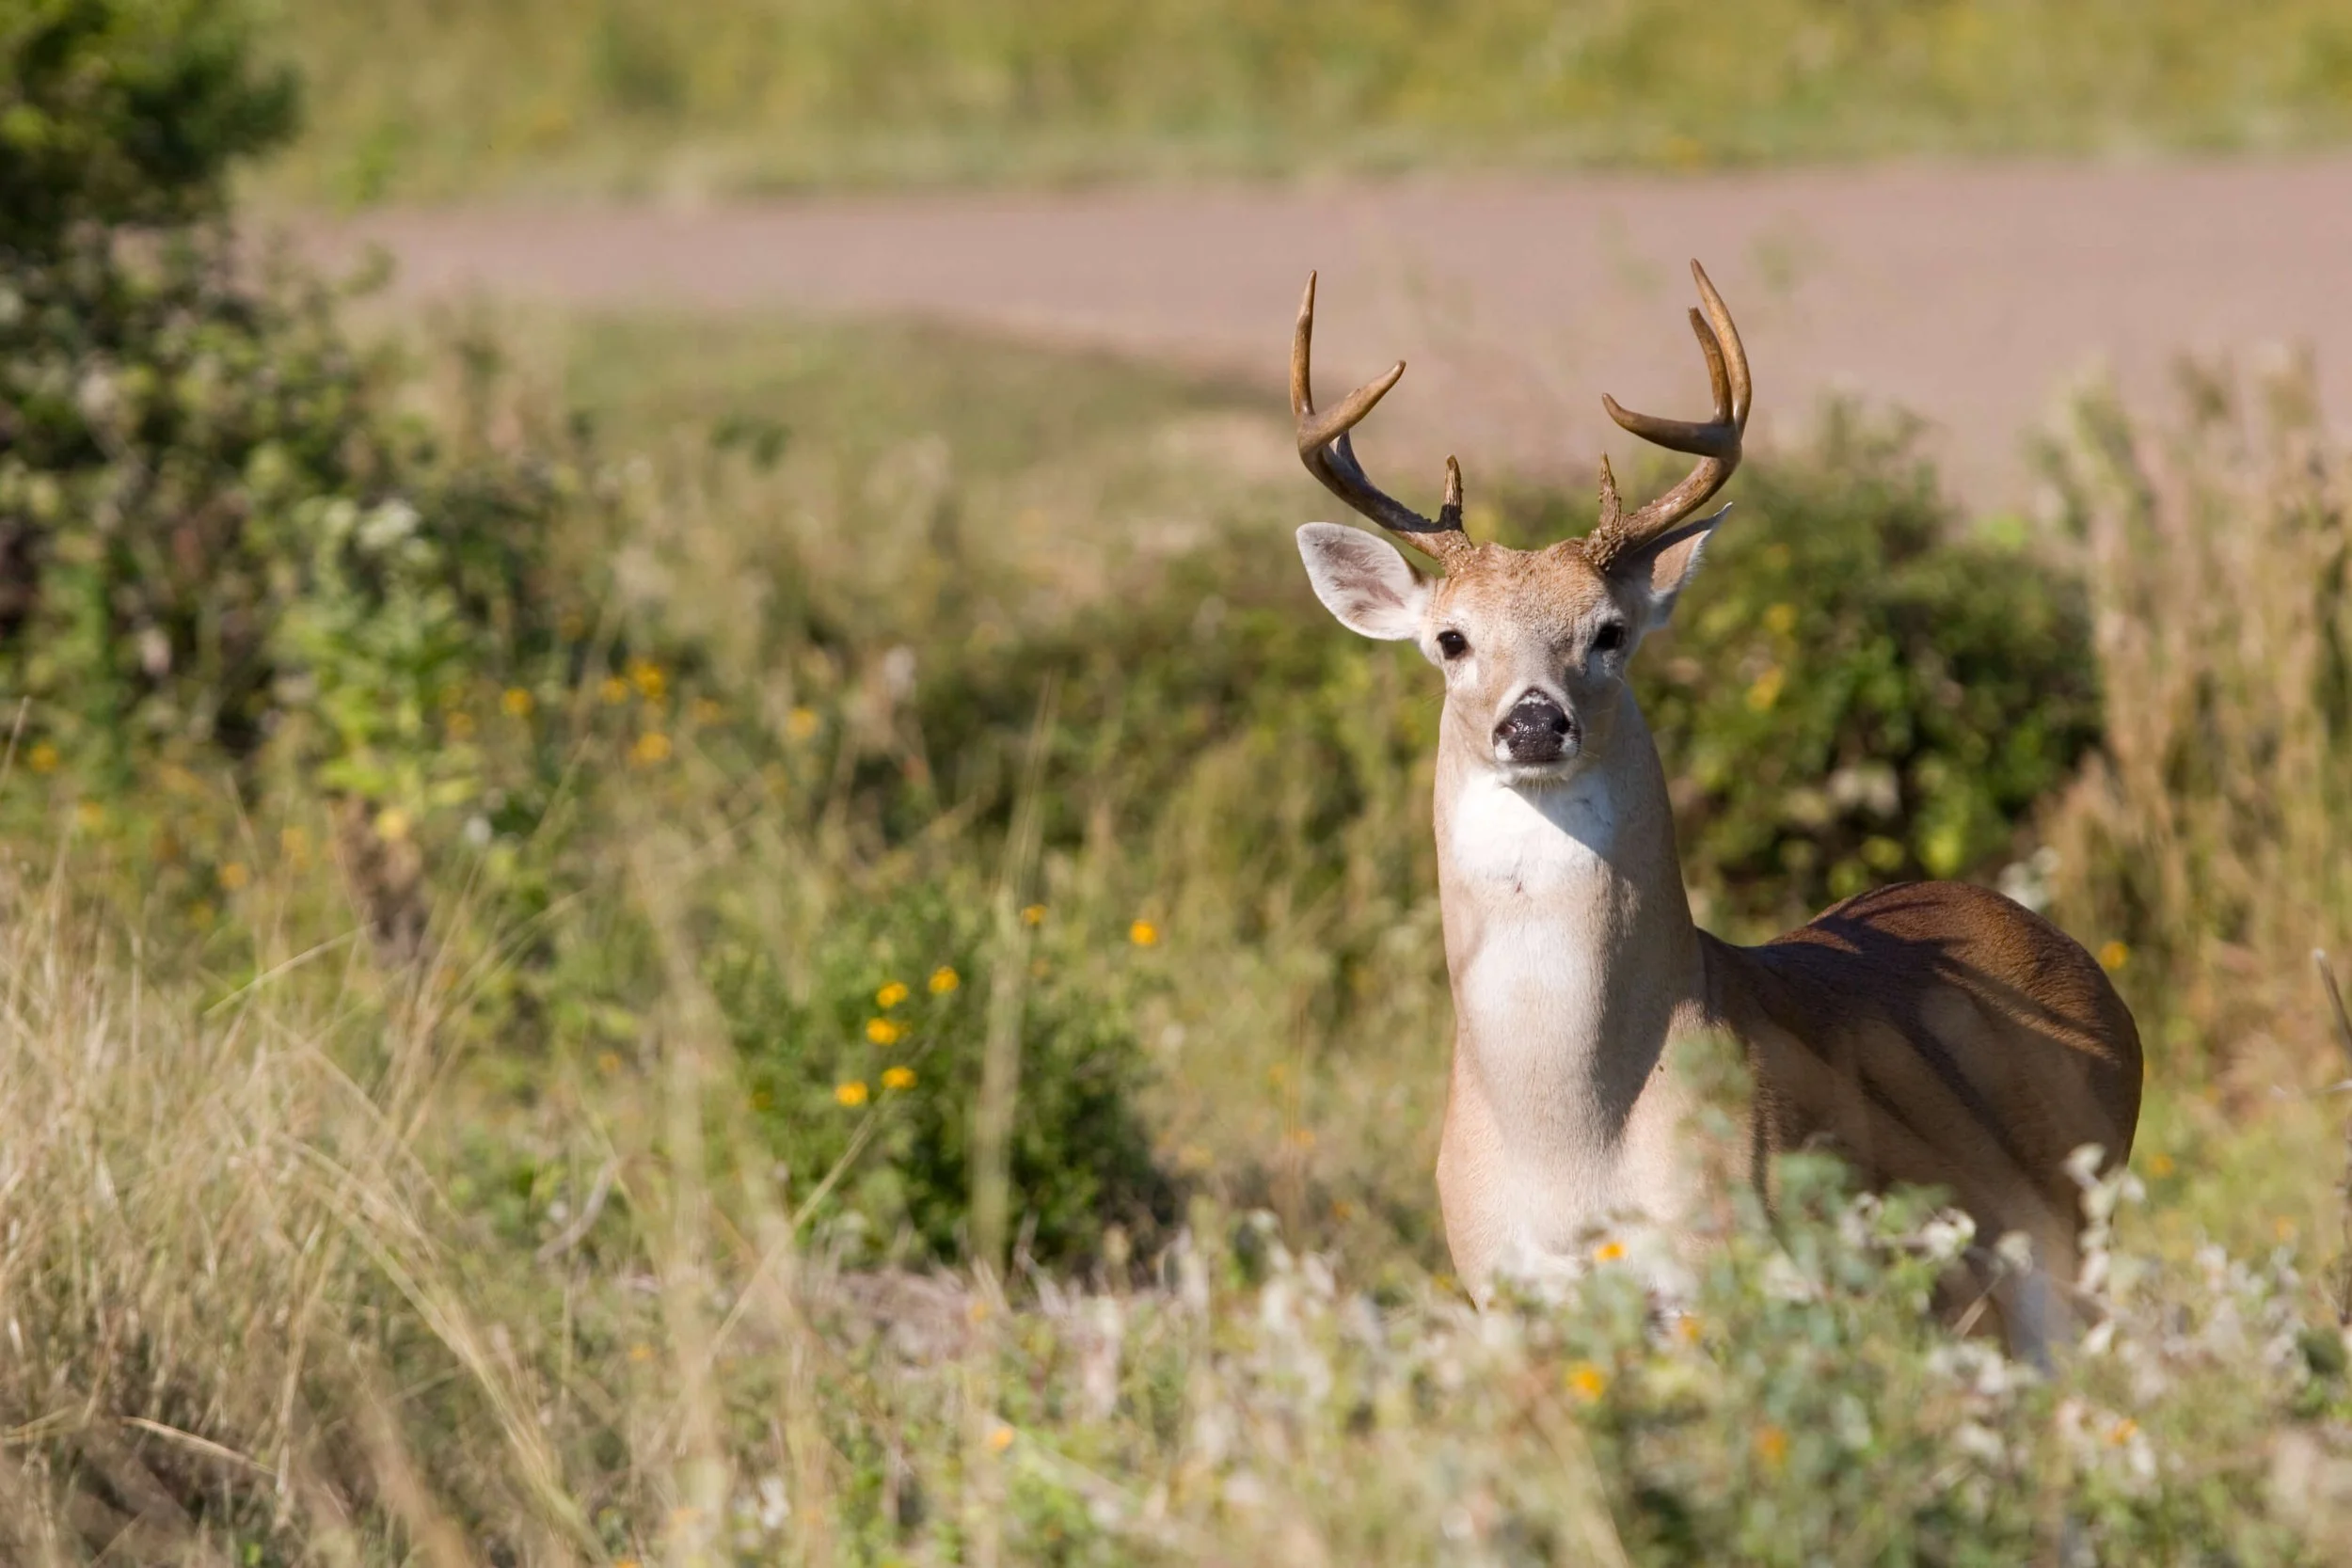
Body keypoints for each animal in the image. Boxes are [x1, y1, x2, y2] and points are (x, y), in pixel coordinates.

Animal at [1289, 261, 2141, 1360]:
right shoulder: (1497, 1289)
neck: (1572, 1135)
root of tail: (2085, 969)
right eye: (1450, 638)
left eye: (1609, 631)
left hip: (2074, 1239)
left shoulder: (1732, 1261)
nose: (1535, 721)